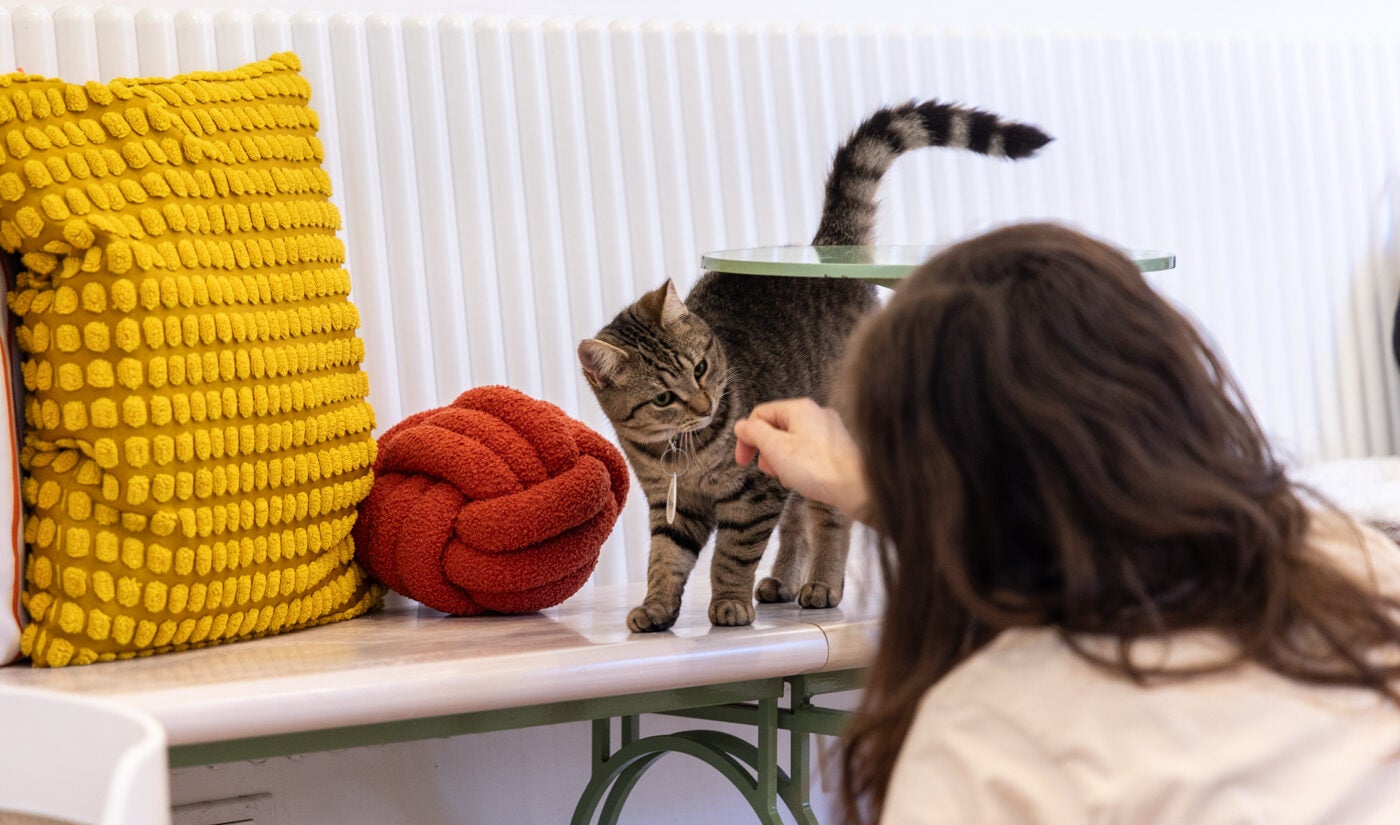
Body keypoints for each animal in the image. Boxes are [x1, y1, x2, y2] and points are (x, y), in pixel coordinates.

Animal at [579, 98, 1052, 630]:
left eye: (700, 368)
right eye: (663, 397)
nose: (703, 405)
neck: (684, 453)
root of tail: (828, 248)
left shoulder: (754, 493)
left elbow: (733, 554)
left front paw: (728, 603)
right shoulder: (670, 504)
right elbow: (665, 559)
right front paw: (657, 606)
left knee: (830, 520)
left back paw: (823, 584)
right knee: (798, 524)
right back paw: (783, 580)